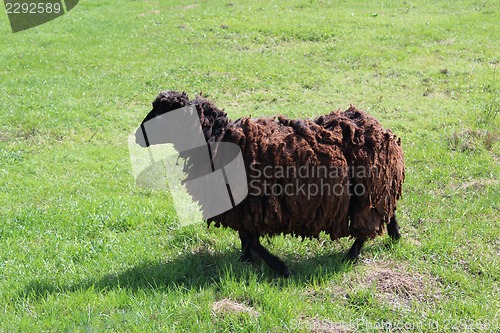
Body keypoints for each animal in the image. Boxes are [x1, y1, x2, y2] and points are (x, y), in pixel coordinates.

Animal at [135, 91, 404, 274]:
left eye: (162, 112)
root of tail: (381, 129)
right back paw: (395, 236)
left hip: (367, 191)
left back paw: (351, 255)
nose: (138, 136)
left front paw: (279, 267)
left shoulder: (246, 205)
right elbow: (247, 239)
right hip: (375, 189)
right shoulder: (242, 208)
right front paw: (246, 261)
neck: (217, 140)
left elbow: (252, 240)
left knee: (368, 224)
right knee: (389, 212)